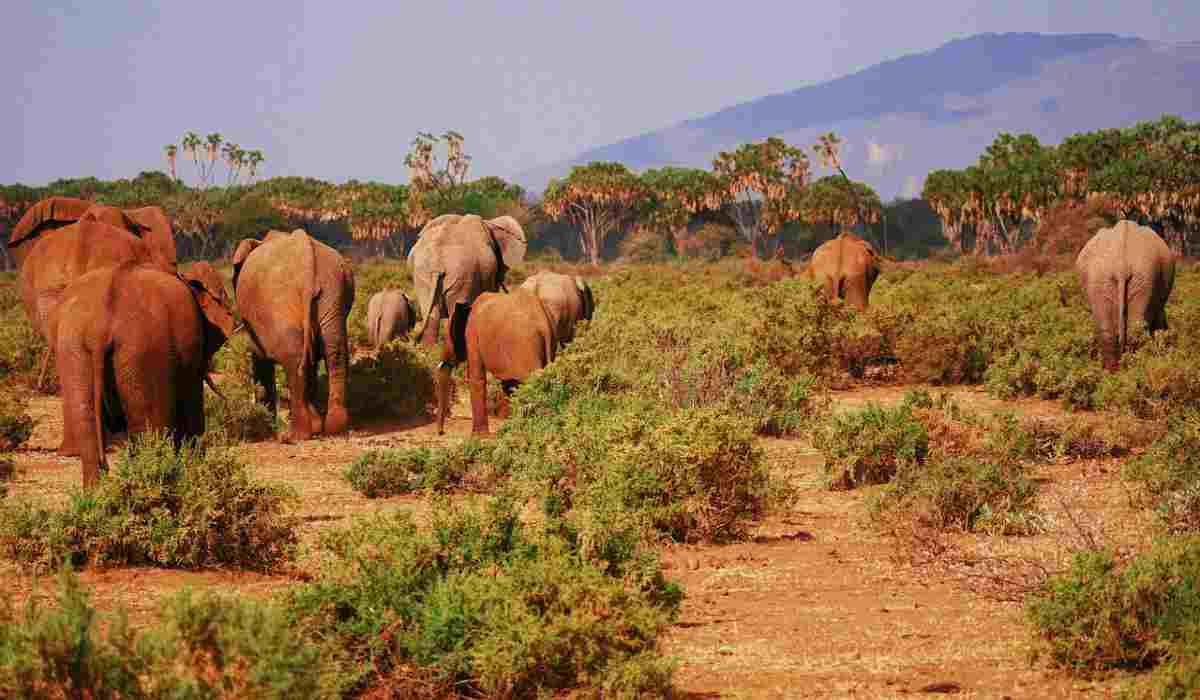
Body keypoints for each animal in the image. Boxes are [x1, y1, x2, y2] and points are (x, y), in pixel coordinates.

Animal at [52, 261, 235, 487]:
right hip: (143, 350)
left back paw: (98, 491)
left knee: (86, 421)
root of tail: (99, 328)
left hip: (73, 346)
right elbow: (192, 409)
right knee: (149, 428)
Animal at [232, 226, 352, 441]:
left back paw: (295, 435)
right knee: (335, 353)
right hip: (334, 292)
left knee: (295, 360)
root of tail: (306, 258)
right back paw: (332, 429)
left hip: (277, 302)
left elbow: (260, 360)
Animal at [439, 288, 554, 434]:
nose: (441, 432)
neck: (467, 307)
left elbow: (477, 378)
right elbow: (509, 384)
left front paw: (478, 436)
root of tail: (544, 324)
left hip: (526, 346)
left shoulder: (472, 334)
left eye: (444, 338)